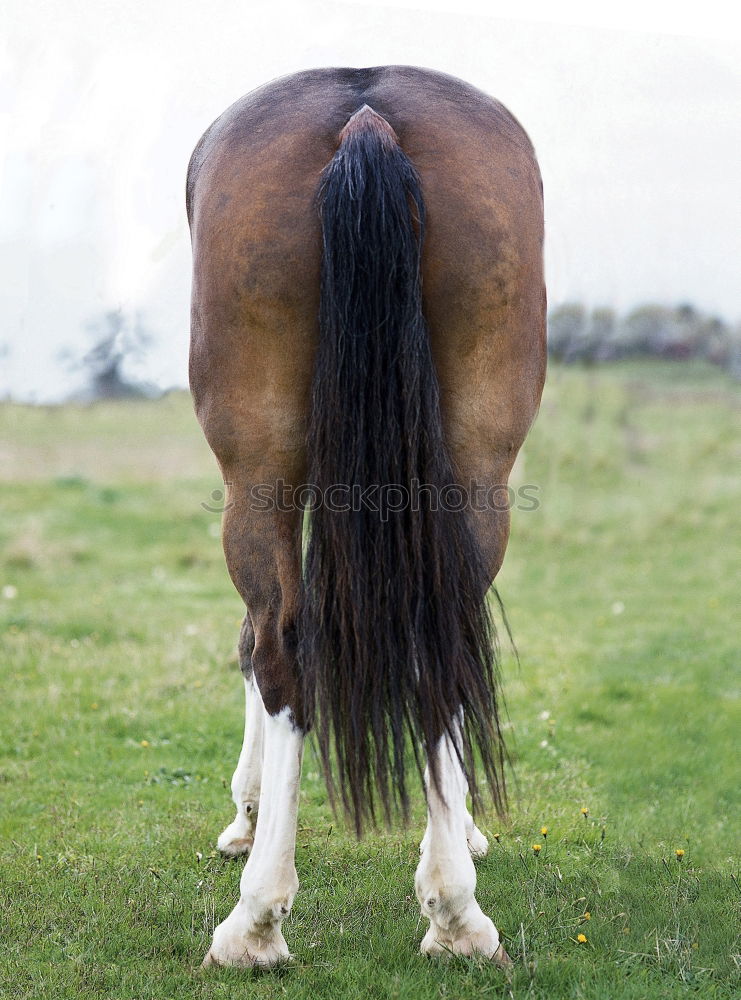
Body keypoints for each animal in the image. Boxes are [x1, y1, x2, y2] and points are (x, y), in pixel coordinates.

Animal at [185, 64, 544, 968]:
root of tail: (366, 115)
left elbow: (251, 643)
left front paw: (244, 818)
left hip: (256, 471)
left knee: (279, 643)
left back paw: (254, 924)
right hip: (476, 462)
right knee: (441, 646)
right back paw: (457, 915)